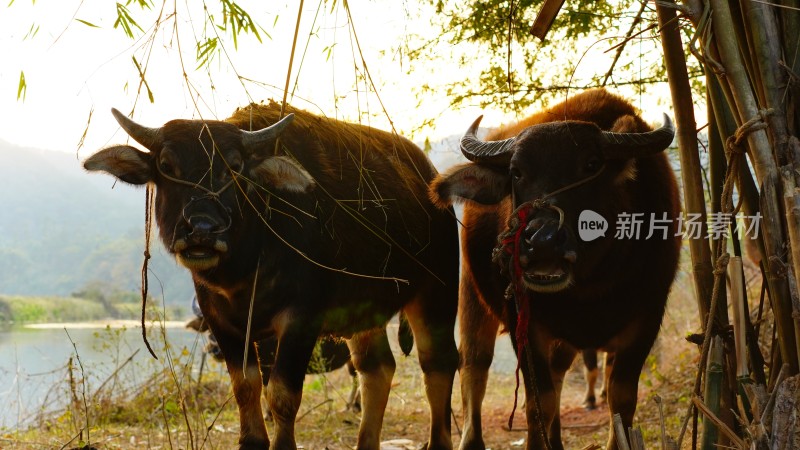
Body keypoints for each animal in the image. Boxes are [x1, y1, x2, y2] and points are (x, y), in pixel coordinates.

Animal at [84, 102, 460, 450]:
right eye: (165, 166)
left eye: (234, 168)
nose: (202, 229)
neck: (245, 271)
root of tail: (429, 178)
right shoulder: (222, 322)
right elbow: (245, 388)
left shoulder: (302, 319)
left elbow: (281, 394)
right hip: (365, 313)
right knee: (377, 369)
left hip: (437, 291)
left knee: (438, 365)